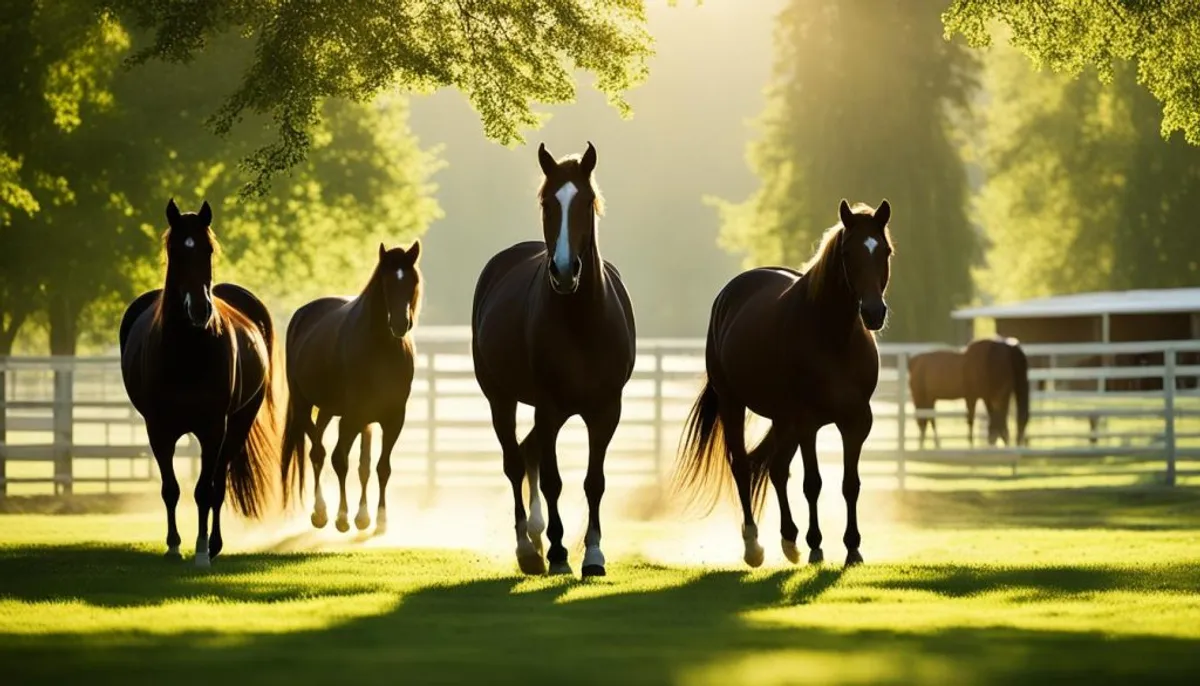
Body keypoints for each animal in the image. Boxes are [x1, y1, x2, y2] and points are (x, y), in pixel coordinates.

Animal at [120, 199, 282, 568]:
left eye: (208, 249)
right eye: (176, 250)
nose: (199, 309)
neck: (187, 350)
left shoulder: (213, 428)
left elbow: (205, 491)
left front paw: (201, 550)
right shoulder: (158, 429)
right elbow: (171, 489)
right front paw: (173, 545)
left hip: (238, 424)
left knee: (218, 482)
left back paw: (215, 543)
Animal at [279, 241, 422, 534]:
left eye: (412, 281)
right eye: (385, 282)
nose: (400, 324)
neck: (382, 348)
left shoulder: (392, 419)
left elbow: (379, 467)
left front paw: (376, 519)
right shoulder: (353, 416)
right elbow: (340, 460)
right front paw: (343, 517)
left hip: (329, 410)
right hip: (304, 406)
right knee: (318, 453)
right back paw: (321, 512)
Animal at [470, 143, 638, 578]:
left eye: (587, 201)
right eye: (548, 203)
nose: (564, 271)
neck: (581, 321)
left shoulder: (605, 410)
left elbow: (594, 482)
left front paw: (593, 555)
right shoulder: (546, 407)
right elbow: (552, 481)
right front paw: (560, 552)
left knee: (527, 453)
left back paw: (535, 534)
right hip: (502, 400)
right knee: (516, 462)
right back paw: (527, 548)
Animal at [676, 197, 892, 568]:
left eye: (885, 251)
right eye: (848, 252)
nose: (874, 313)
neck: (833, 338)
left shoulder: (855, 421)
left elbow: (850, 484)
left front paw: (852, 548)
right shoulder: (808, 423)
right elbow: (812, 483)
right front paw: (817, 546)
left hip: (782, 419)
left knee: (776, 469)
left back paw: (790, 540)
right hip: (735, 404)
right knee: (742, 466)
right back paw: (754, 546)